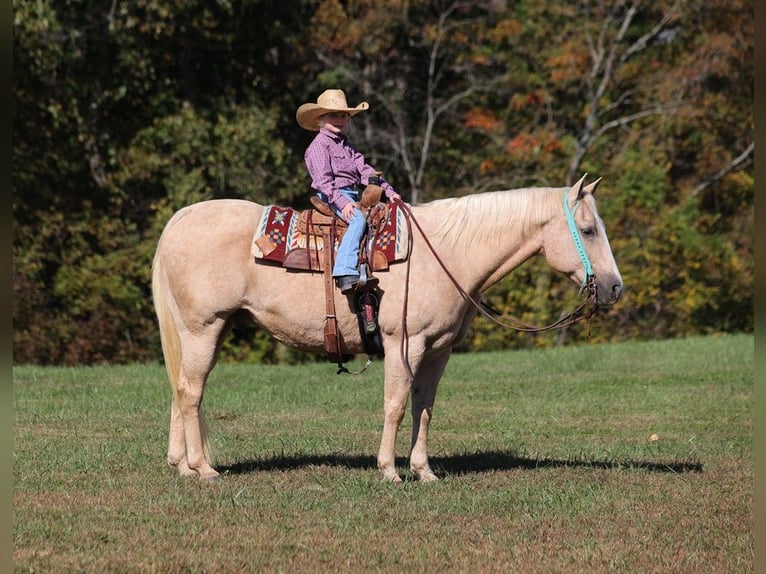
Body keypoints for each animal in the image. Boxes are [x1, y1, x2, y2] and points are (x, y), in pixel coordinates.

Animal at [151, 174, 623, 483]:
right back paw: (203, 468)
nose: (615, 287)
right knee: (191, 392)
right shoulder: (405, 345)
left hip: (206, 332)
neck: (447, 253)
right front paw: (389, 471)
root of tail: (181, 219)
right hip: (203, 328)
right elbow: (395, 404)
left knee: (181, 388)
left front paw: (423, 470)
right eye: (587, 229)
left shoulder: (438, 351)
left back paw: (180, 464)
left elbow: (424, 407)